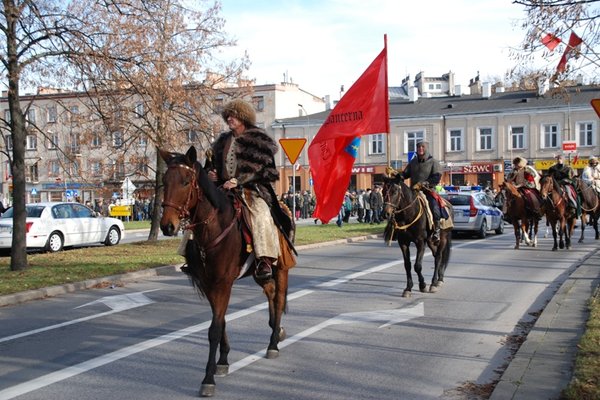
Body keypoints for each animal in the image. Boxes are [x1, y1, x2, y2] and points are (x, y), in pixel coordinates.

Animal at [158, 147, 292, 396]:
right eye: (164, 181)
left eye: (186, 181)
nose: (167, 226)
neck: (213, 229)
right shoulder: (210, 285)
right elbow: (220, 324)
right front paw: (223, 361)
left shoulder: (223, 285)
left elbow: (214, 329)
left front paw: (208, 378)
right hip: (260, 273)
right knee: (269, 291)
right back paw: (276, 330)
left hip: (281, 268)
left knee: (278, 299)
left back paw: (273, 344)